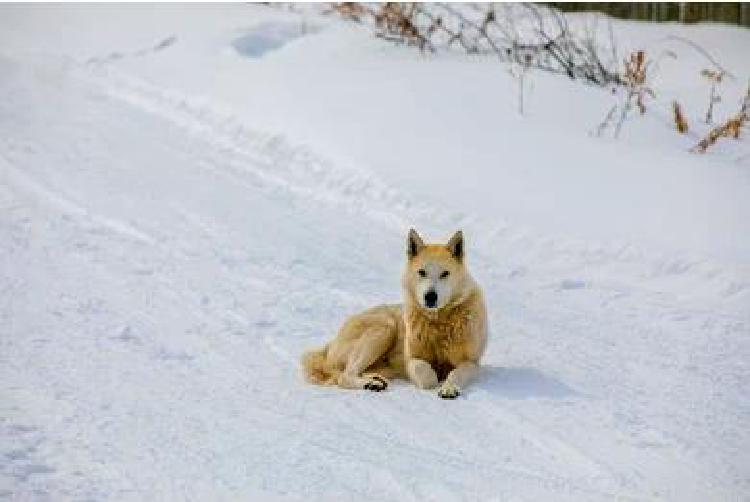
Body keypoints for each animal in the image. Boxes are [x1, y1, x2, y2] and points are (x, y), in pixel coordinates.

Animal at [302, 229, 490, 398]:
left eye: (445, 274)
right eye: (422, 272)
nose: (430, 296)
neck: (438, 322)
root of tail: (328, 348)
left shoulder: (471, 362)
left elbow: (455, 374)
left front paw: (448, 388)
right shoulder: (412, 360)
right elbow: (426, 375)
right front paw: (434, 381)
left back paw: (376, 380)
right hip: (384, 327)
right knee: (345, 376)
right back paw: (371, 384)